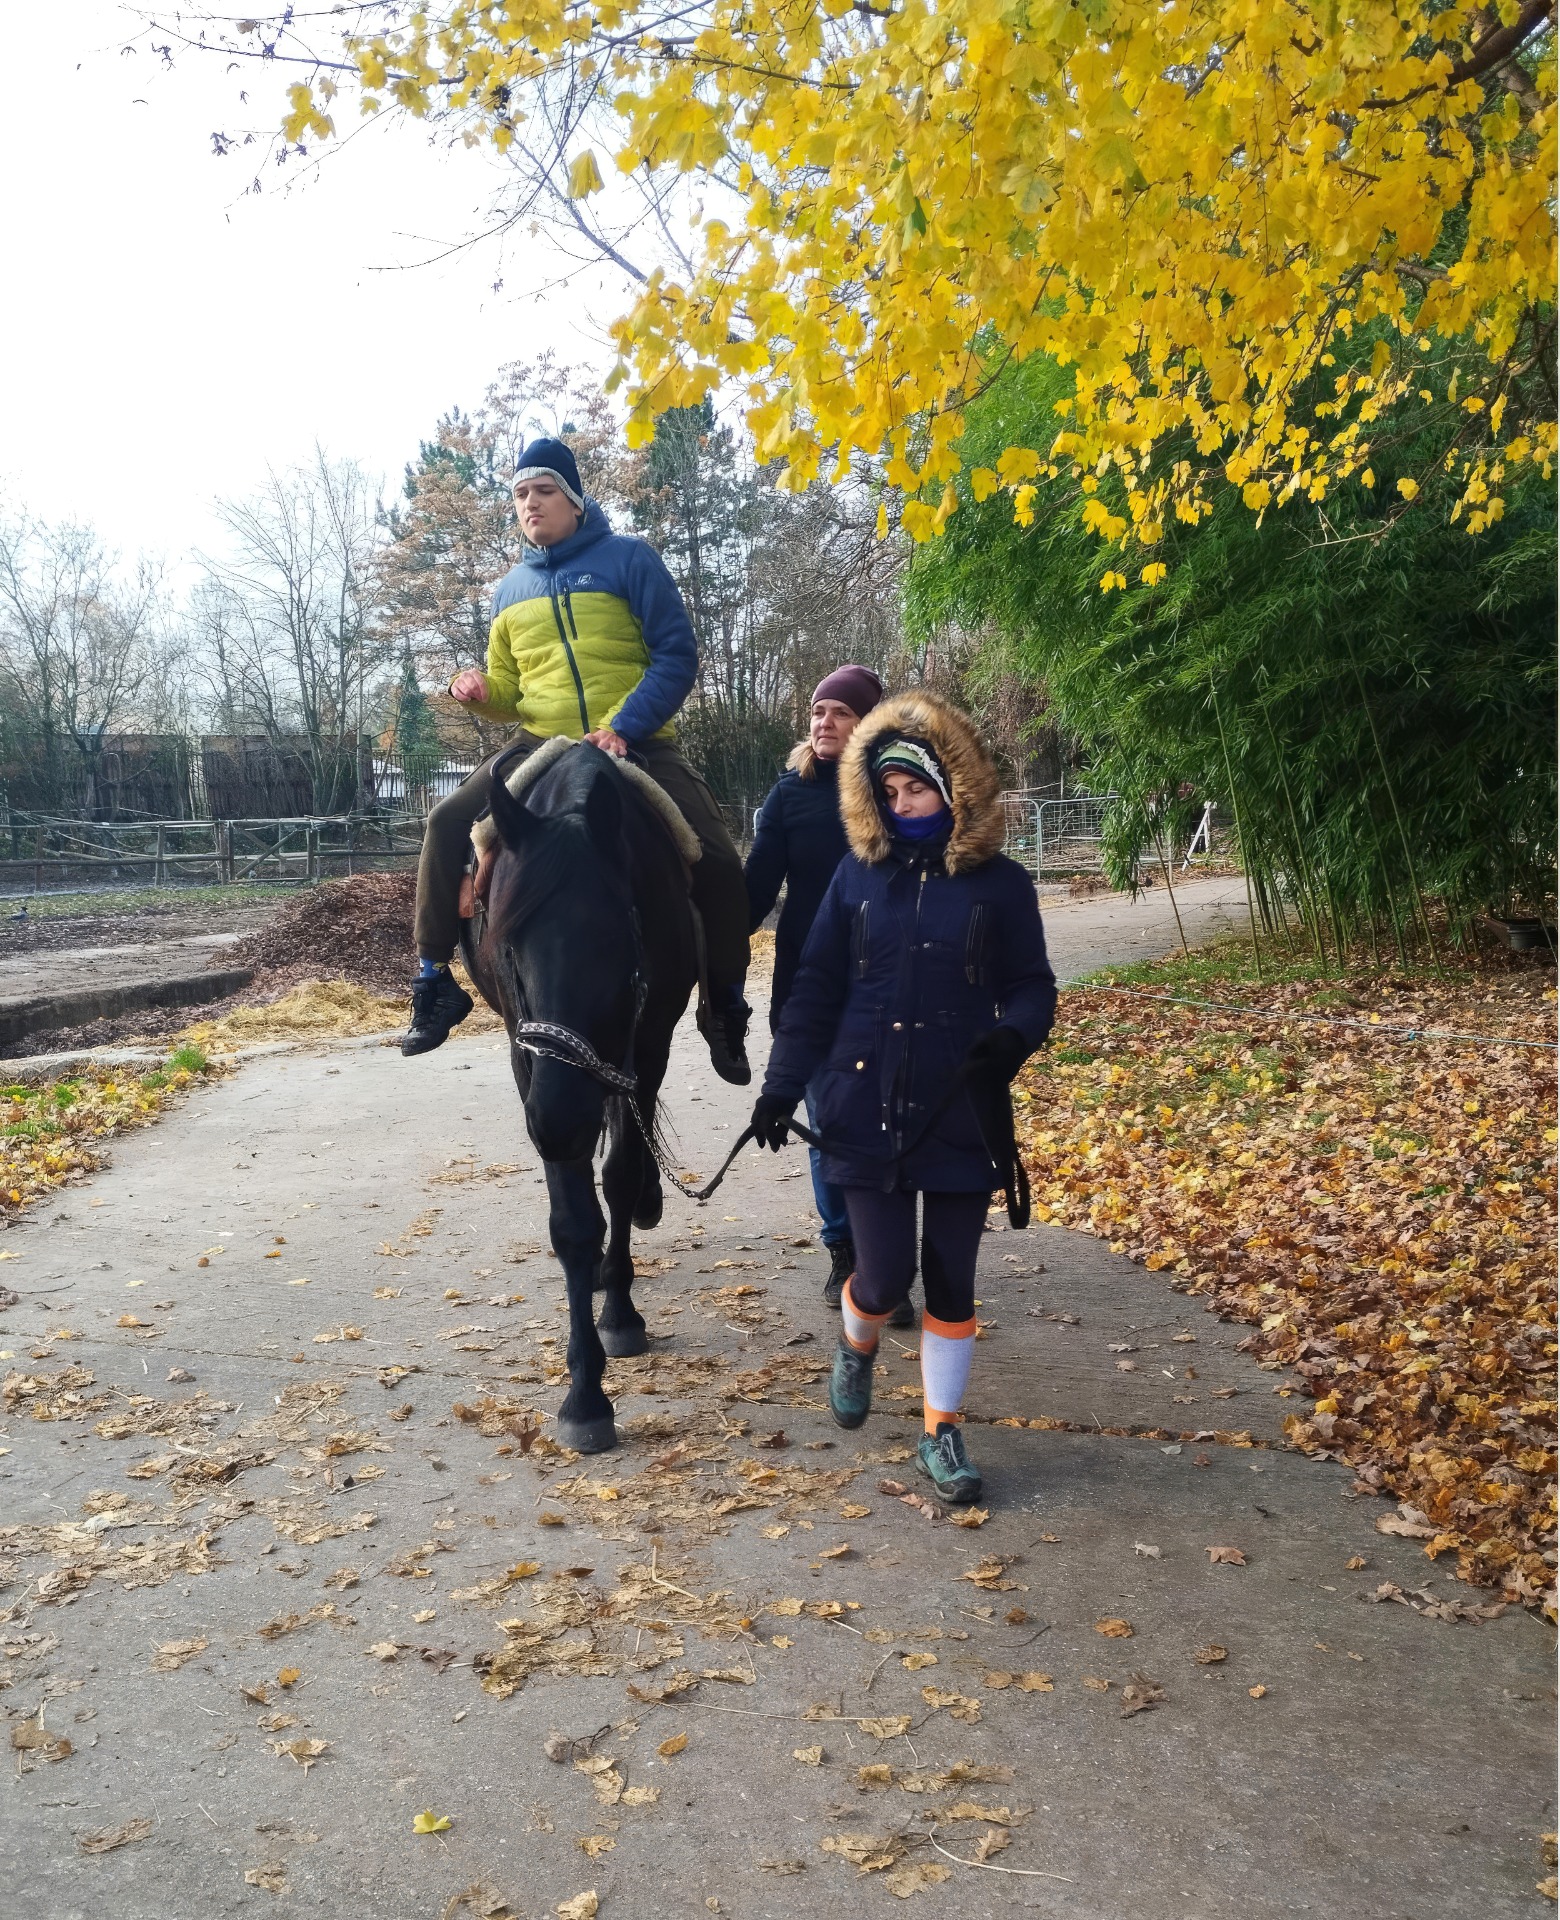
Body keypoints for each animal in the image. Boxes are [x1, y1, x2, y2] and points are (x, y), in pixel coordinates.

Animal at [459, 740, 700, 1454]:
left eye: (621, 940)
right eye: (509, 943)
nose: (558, 1124)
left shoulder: (645, 1045)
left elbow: (617, 1177)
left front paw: (619, 1315)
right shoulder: (528, 1059)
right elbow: (572, 1223)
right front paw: (585, 1394)